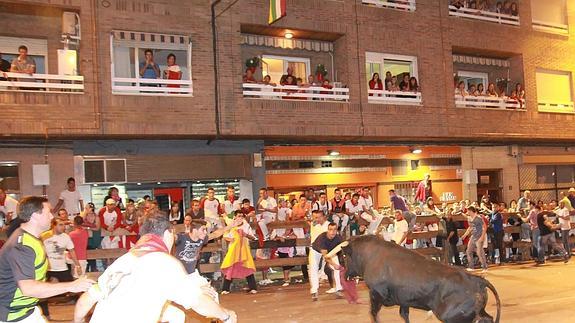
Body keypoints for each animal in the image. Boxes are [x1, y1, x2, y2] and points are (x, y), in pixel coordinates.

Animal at [342, 235, 500, 323]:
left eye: (345, 256)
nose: (345, 275)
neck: (370, 255)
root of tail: (478, 280)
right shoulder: (404, 300)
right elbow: (404, 315)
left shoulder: (376, 294)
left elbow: (374, 314)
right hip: (477, 312)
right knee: (488, 319)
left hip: (452, 317)